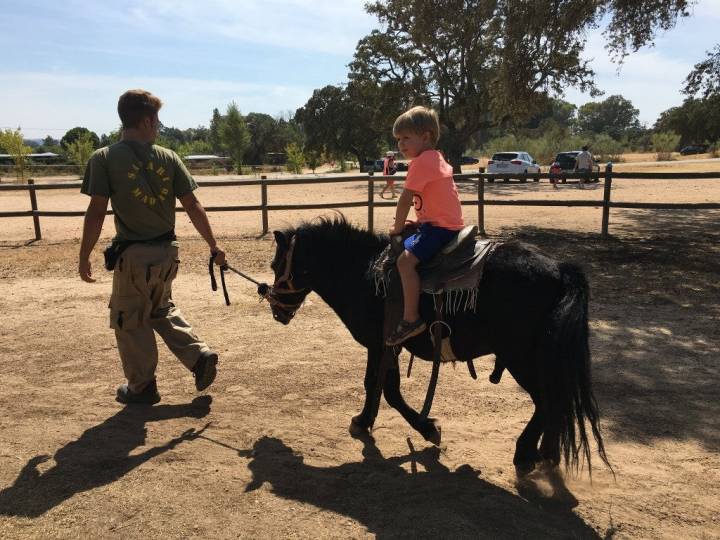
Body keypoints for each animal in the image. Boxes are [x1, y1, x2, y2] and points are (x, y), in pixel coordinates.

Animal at [268, 217, 612, 474]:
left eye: (275, 265)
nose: (277, 311)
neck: (363, 273)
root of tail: (561, 269)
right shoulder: (382, 346)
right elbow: (375, 385)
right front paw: (366, 421)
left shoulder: (381, 344)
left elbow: (386, 389)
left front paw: (424, 428)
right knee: (555, 401)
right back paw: (547, 452)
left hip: (521, 358)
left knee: (547, 400)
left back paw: (525, 453)